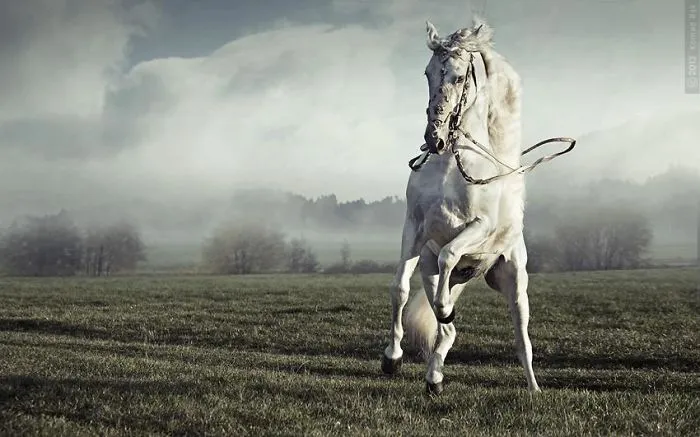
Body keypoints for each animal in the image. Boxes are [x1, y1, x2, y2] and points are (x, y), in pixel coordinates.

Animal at [381, 16, 547, 395]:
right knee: (446, 331)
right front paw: (391, 359)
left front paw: (444, 309)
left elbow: (449, 252)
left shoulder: (478, 227)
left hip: (513, 280)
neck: (450, 166)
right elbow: (399, 288)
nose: (434, 139)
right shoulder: (413, 227)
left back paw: (533, 388)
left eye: (459, 77)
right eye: (427, 73)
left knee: (522, 337)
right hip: (431, 273)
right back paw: (434, 379)